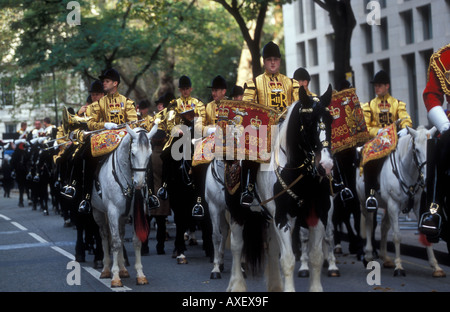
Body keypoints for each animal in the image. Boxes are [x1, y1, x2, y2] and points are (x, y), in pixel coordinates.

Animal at [90, 124, 157, 288]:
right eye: (132, 154)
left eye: (149, 155)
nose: (139, 184)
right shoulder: (112, 212)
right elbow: (114, 242)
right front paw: (115, 277)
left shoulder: (136, 211)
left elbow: (136, 241)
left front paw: (140, 275)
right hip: (98, 212)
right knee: (105, 235)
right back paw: (106, 269)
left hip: (122, 216)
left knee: (120, 235)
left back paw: (122, 269)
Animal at [356, 125, 446, 276]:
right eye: (417, 150)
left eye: (432, 149)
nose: (428, 178)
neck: (408, 172)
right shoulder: (393, 204)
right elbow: (397, 235)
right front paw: (399, 267)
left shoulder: (416, 206)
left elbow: (424, 233)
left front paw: (436, 266)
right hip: (365, 203)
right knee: (369, 223)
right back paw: (368, 255)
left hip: (387, 206)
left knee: (384, 226)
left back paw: (385, 257)